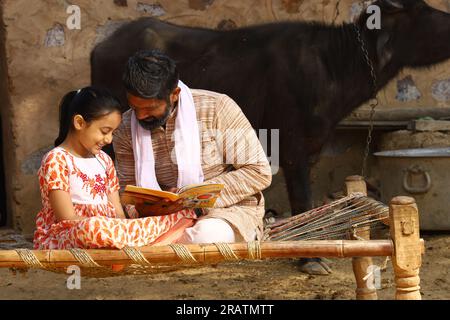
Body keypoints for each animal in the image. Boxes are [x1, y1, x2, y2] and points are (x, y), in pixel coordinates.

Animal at [91, 0, 450, 215]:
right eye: (422, 10)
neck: (332, 64)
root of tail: (102, 47)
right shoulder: (290, 139)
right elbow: (301, 194)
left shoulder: (315, 141)